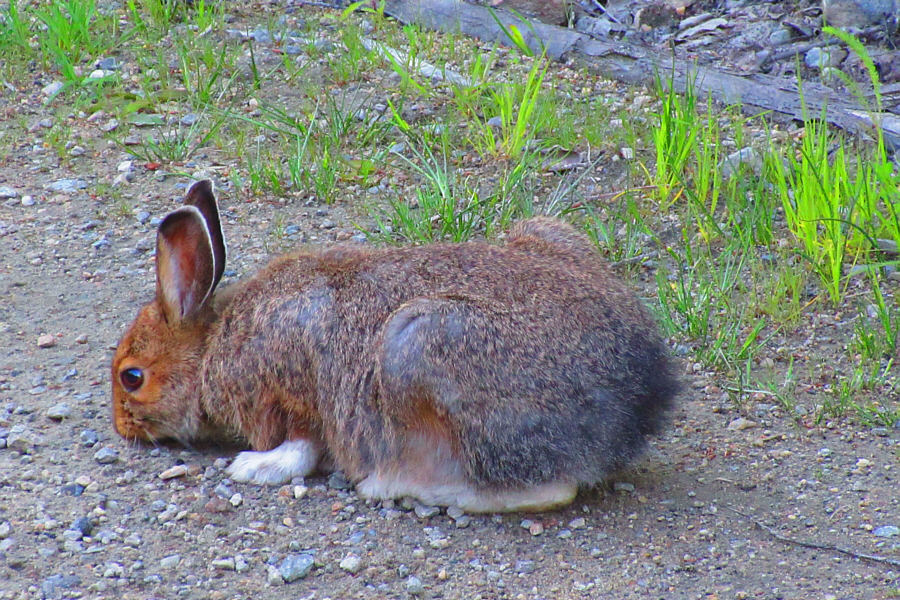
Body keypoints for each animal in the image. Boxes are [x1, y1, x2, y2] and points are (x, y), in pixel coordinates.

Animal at [111, 180, 679, 512]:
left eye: (131, 377)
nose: (121, 426)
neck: (212, 345)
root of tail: (642, 394)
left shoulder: (289, 392)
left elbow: (300, 446)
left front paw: (254, 467)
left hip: (418, 344)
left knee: (546, 488)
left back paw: (403, 487)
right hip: (546, 234)